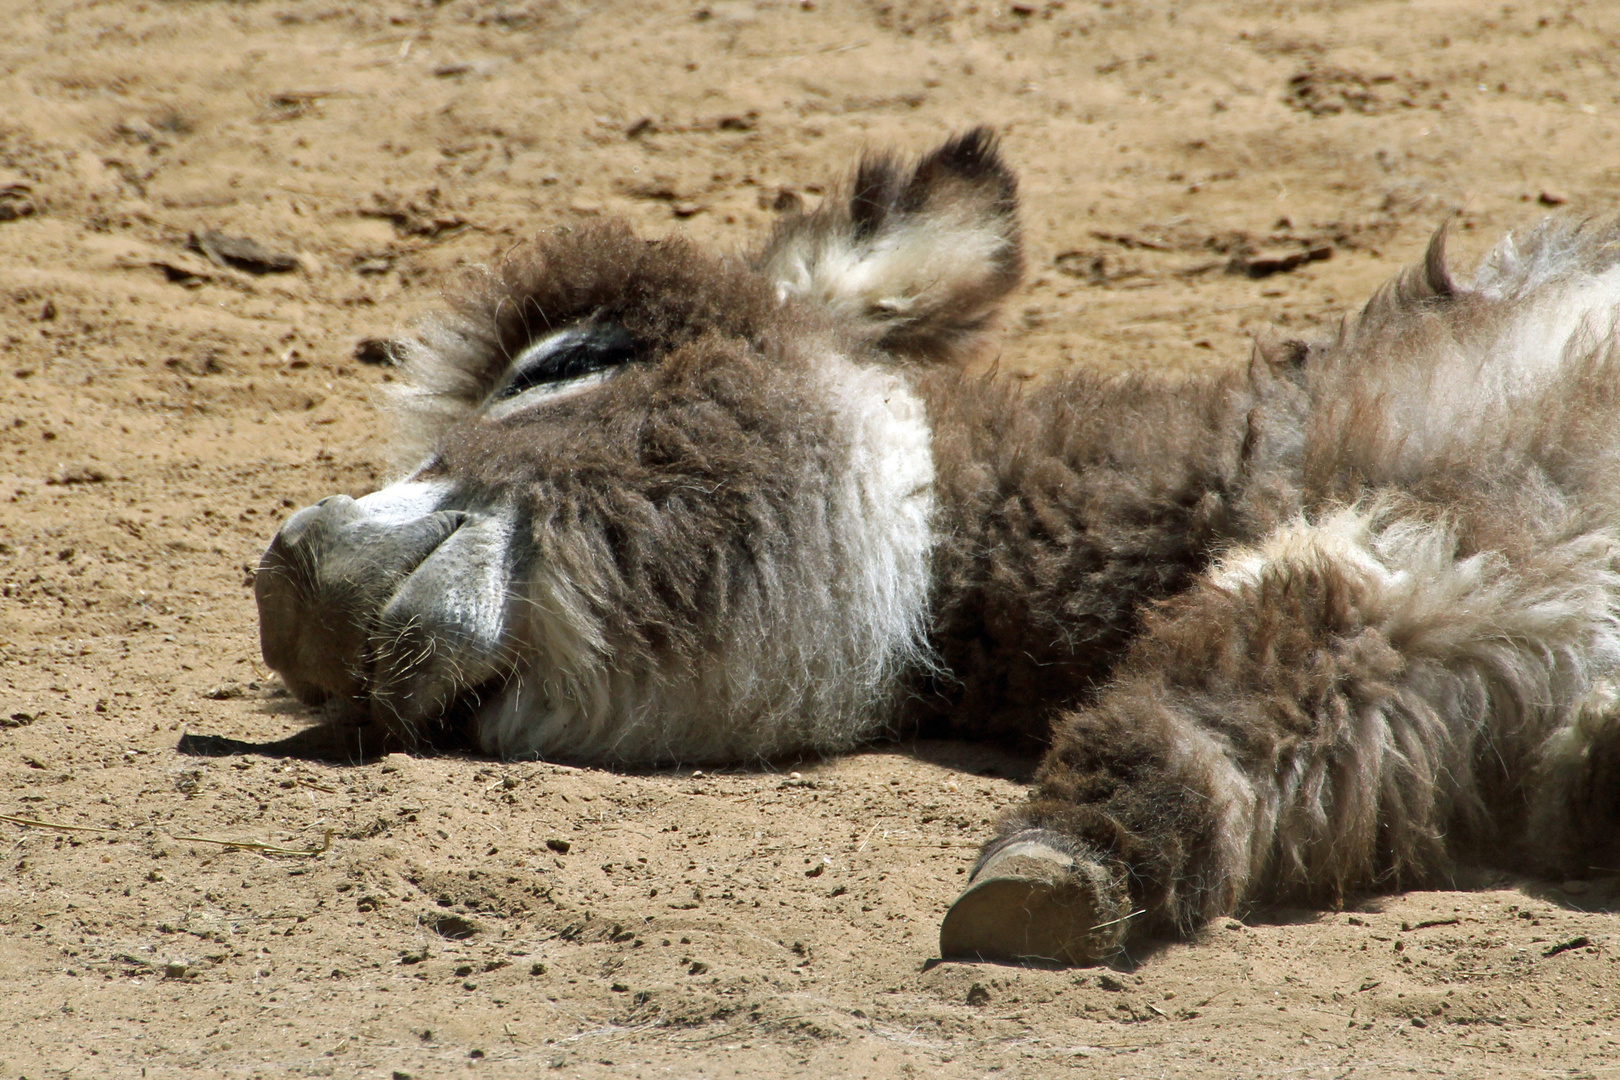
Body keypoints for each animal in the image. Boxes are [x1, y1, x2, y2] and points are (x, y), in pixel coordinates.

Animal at [255, 131, 1620, 965]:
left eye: (572, 362)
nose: (292, 574)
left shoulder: (1482, 537)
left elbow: (1265, 637)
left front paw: (1068, 851)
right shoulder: (1465, 639)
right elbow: (1282, 657)